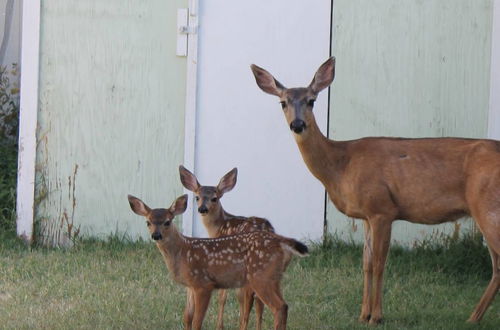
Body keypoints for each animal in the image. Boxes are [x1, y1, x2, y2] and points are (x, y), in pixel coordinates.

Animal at [127, 193, 306, 330]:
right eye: (148, 222)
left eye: (167, 222)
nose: (156, 235)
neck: (183, 253)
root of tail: (281, 241)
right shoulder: (191, 286)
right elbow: (187, 317)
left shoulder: (204, 284)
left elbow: (197, 321)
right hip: (274, 278)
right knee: (283, 306)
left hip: (260, 276)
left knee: (279, 307)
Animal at [179, 165, 274, 330]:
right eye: (197, 197)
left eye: (214, 198)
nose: (202, 209)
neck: (218, 228)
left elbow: (223, 296)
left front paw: (219, 326)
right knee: (259, 303)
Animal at [252, 56, 500, 324]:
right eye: (283, 102)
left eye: (311, 100)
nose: (297, 124)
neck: (341, 165)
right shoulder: (366, 215)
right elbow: (366, 263)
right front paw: (363, 314)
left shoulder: (382, 209)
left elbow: (380, 262)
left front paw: (377, 316)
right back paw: (473, 318)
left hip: (488, 208)